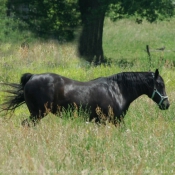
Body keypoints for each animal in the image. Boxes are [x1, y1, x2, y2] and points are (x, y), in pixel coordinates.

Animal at [0, 69, 170, 126]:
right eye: (160, 84)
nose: (167, 104)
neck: (117, 90)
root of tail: (32, 77)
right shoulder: (115, 121)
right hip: (37, 114)